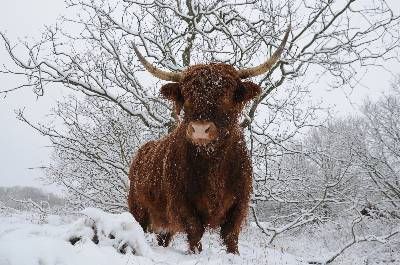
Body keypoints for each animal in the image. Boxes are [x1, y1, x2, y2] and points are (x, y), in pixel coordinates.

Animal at [129, 25, 290, 253]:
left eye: (227, 94)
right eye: (186, 95)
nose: (199, 130)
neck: (213, 163)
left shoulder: (240, 202)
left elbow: (231, 234)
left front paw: (233, 254)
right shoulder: (181, 201)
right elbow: (195, 229)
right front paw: (195, 253)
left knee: (163, 237)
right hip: (138, 208)